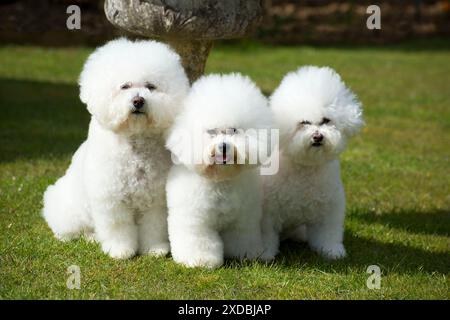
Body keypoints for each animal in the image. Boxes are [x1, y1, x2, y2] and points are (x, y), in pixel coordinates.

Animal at [41, 37, 189, 258]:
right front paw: (120, 250)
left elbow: (153, 226)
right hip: (69, 211)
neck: (134, 141)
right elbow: (118, 227)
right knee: (70, 228)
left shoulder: (155, 199)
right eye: (125, 86)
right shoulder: (111, 199)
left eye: (151, 86)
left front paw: (154, 249)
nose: (138, 101)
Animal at [165, 74, 274, 268]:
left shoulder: (243, 219)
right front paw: (201, 260)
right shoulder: (196, 220)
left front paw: (245, 254)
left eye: (233, 130)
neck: (221, 180)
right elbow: (199, 240)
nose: (223, 146)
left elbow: (242, 237)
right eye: (211, 132)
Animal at [262, 65, 364, 260]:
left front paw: (332, 251)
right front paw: (264, 254)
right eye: (304, 123)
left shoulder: (328, 208)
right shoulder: (267, 211)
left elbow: (328, 233)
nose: (318, 137)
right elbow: (265, 234)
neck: (306, 167)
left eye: (325, 120)